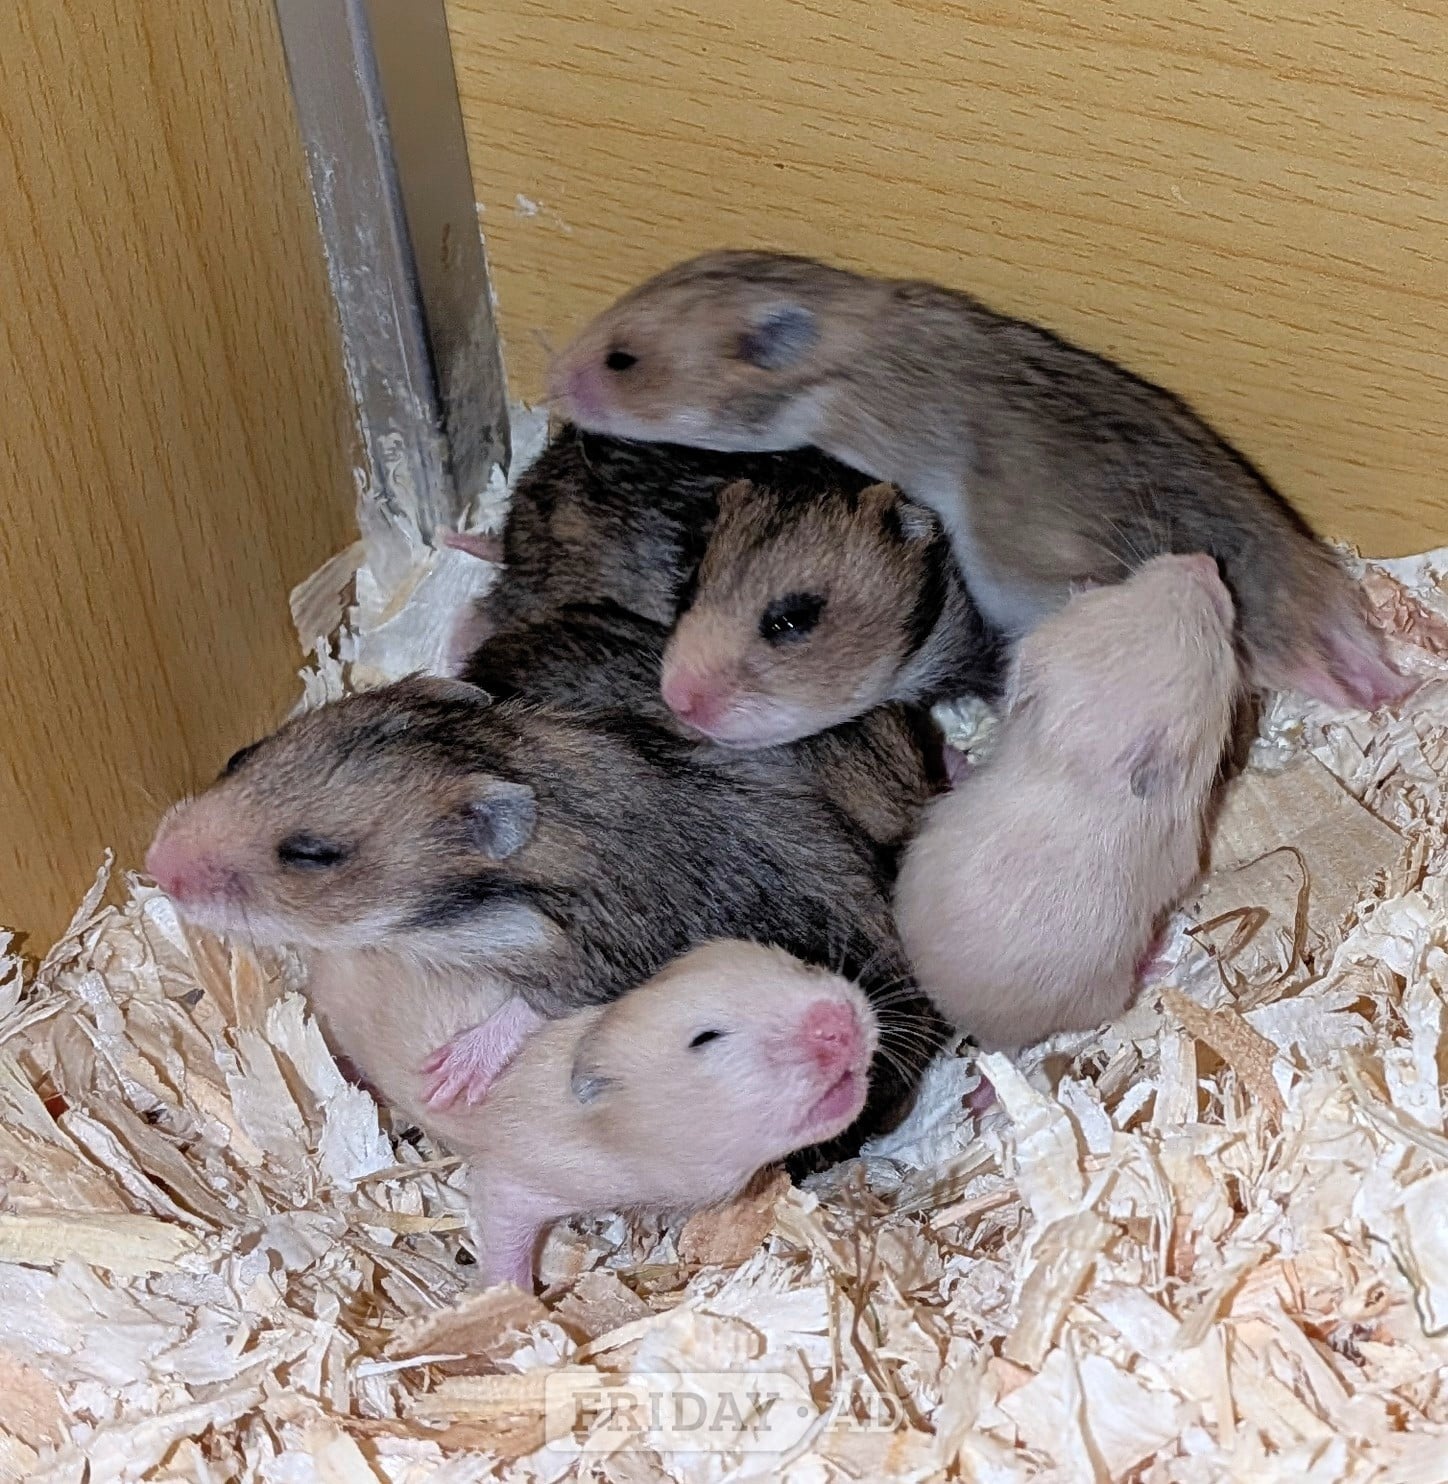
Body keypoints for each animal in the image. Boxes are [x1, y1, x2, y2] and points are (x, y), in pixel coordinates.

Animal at [144, 676, 947, 1166]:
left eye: (312, 854)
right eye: (239, 754)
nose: (153, 863)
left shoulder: (605, 954)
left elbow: (534, 1005)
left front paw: (450, 1076)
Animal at [445, 941, 876, 1289]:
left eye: (805, 965)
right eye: (706, 1038)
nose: (839, 1024)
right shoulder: (520, 1177)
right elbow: (505, 1241)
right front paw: (518, 1308)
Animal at [894, 553, 1239, 1049]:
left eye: (1120, 586)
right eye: (1214, 647)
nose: (1206, 560)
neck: (1071, 761)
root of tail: (971, 1025)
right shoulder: (1183, 855)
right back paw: (1157, 959)